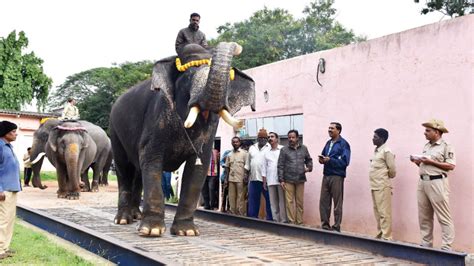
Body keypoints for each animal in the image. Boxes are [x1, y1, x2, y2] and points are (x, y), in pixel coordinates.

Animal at [110, 42, 256, 237]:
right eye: (188, 75)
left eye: (230, 82)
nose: (238, 46)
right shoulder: (156, 119)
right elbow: (151, 159)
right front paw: (152, 231)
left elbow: (198, 167)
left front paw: (186, 232)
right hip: (115, 131)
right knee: (124, 168)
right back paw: (123, 220)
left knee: (137, 172)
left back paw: (136, 216)